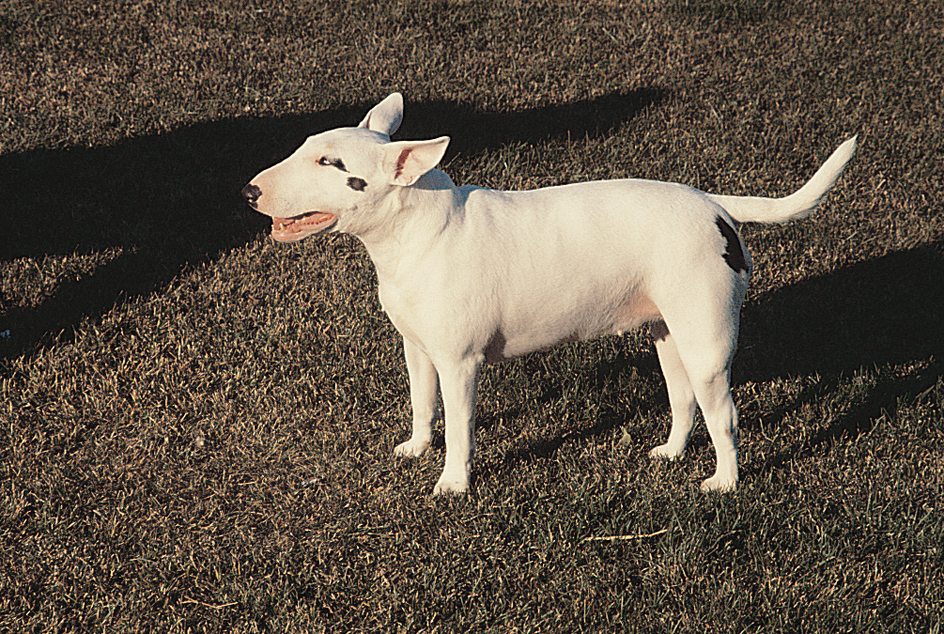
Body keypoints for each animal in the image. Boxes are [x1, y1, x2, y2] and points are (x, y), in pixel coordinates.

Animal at [242, 92, 856, 494]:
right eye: (307, 145)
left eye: (331, 163)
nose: (248, 192)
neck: (421, 229)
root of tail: (714, 205)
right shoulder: (418, 349)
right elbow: (421, 402)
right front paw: (416, 448)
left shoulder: (460, 363)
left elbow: (460, 427)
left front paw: (452, 484)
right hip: (667, 333)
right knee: (684, 400)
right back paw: (670, 453)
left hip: (707, 341)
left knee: (723, 413)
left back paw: (724, 483)